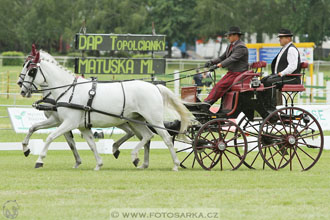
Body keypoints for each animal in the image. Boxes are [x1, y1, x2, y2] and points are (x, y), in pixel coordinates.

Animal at [20, 51, 189, 170]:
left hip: (154, 120)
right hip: (137, 120)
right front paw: (98, 164)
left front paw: (39, 160)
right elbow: (91, 144)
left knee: (166, 139)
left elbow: (50, 137)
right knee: (147, 136)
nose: (22, 89)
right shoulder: (79, 125)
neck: (69, 90)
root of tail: (155, 87)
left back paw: (174, 164)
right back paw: (137, 159)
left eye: (31, 71)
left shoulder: (68, 123)